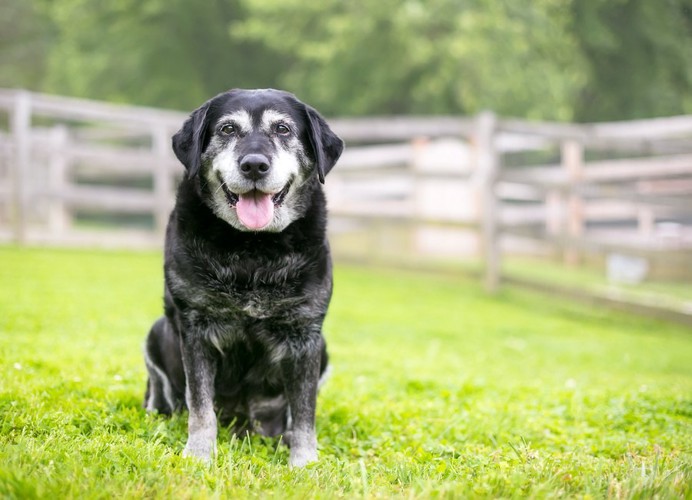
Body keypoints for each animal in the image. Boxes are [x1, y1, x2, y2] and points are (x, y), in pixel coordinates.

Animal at [143, 88, 344, 466]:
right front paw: (199, 454)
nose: (254, 164)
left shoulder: (306, 334)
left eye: (282, 129)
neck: (253, 248)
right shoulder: (196, 328)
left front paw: (304, 462)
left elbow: (305, 412)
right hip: (156, 332)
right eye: (227, 129)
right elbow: (201, 407)